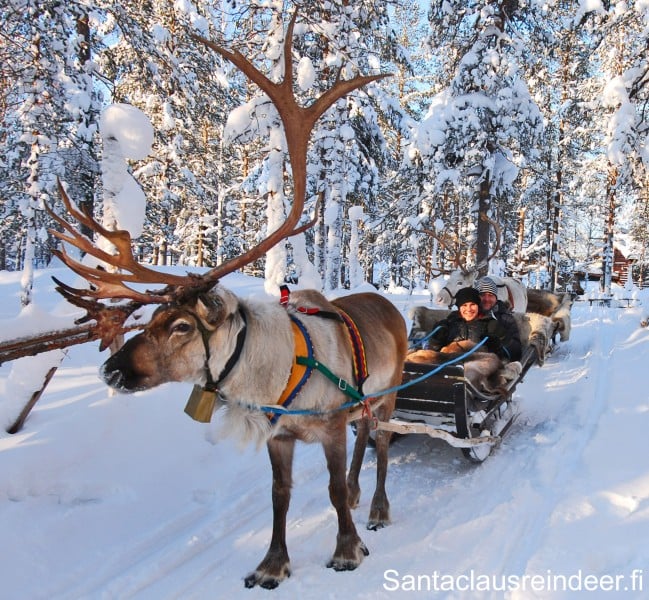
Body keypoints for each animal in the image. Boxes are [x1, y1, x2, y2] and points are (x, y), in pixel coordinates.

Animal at [44, 13, 408, 590]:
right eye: (150, 318)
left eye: (181, 326)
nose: (110, 371)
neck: (272, 376)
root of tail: (391, 307)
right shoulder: (280, 437)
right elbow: (280, 496)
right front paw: (272, 563)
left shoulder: (329, 425)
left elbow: (328, 489)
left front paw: (347, 549)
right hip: (363, 403)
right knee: (365, 440)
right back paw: (358, 495)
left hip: (390, 392)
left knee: (383, 443)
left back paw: (374, 507)